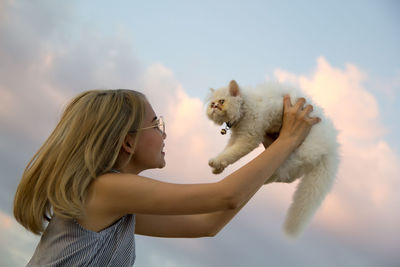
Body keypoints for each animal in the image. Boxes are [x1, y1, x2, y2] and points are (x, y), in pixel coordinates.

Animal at [206, 80, 340, 239]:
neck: (246, 105)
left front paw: (216, 163)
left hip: (299, 153)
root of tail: (332, 146)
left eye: (222, 101)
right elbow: (227, 151)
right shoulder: (236, 137)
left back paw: (263, 178)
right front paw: (218, 168)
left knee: (283, 174)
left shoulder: (248, 138)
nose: (214, 107)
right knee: (287, 175)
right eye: (211, 103)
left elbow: (231, 153)